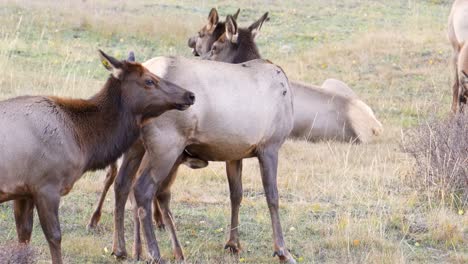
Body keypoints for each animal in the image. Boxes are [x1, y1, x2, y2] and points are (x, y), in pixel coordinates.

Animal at [0, 50, 194, 262]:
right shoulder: (46, 186)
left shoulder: (24, 190)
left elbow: (23, 238)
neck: (82, 141)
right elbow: (55, 237)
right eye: (149, 80)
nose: (190, 94)